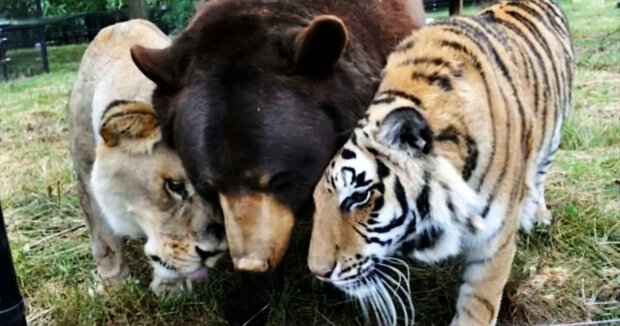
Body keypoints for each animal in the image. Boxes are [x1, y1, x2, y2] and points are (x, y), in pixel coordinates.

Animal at [68, 19, 228, 296]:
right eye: (174, 186)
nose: (214, 252)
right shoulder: (85, 176)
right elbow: (104, 241)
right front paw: (113, 286)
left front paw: (170, 287)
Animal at [308, 1, 572, 324]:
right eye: (316, 201)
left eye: (359, 196)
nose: (318, 273)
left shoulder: (493, 241)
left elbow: (478, 304)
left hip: (554, 135)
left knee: (539, 174)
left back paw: (538, 215)